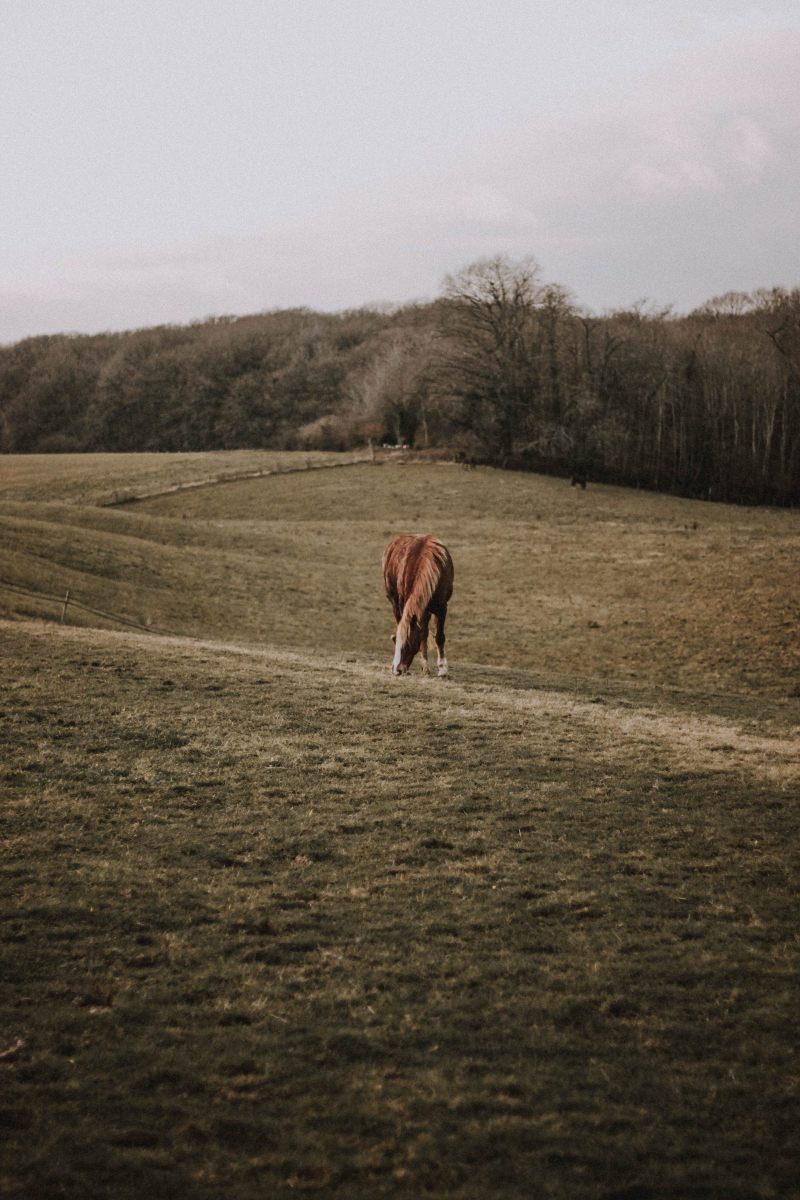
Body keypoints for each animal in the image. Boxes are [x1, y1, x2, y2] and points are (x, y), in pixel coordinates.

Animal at [383, 535, 453, 676]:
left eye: (408, 643)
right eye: (394, 640)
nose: (396, 670)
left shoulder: (441, 608)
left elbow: (439, 637)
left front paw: (442, 669)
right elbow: (422, 635)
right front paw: (425, 666)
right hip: (397, 603)